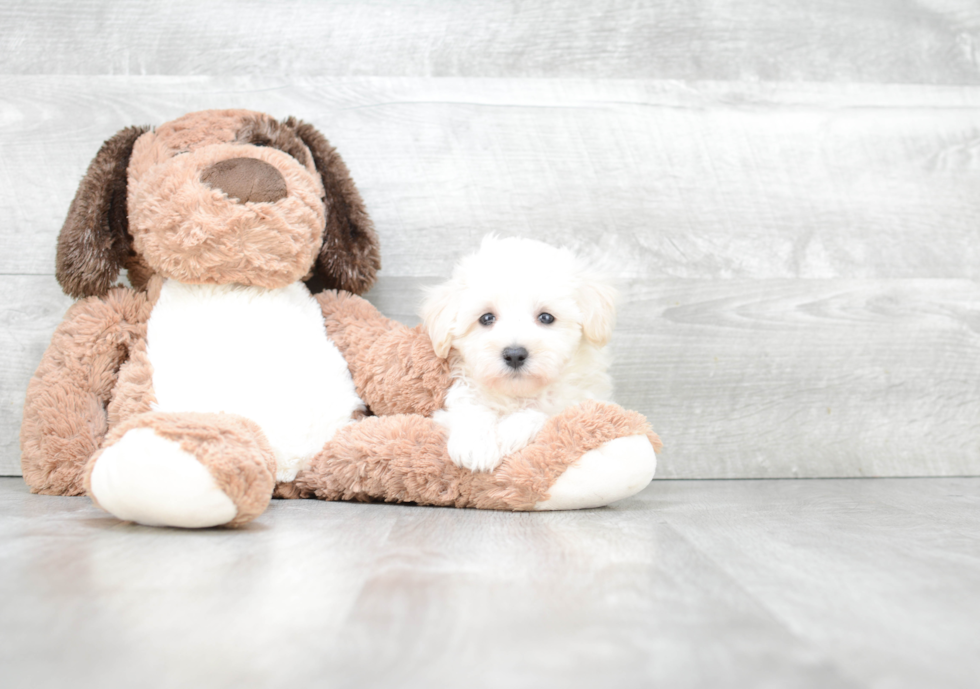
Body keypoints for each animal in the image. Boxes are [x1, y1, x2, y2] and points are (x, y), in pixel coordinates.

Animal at [422, 236, 620, 472]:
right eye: (486, 318)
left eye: (546, 317)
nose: (515, 354)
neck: (518, 395)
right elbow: (470, 408)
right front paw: (475, 445)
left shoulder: (583, 402)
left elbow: (547, 412)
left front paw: (509, 432)